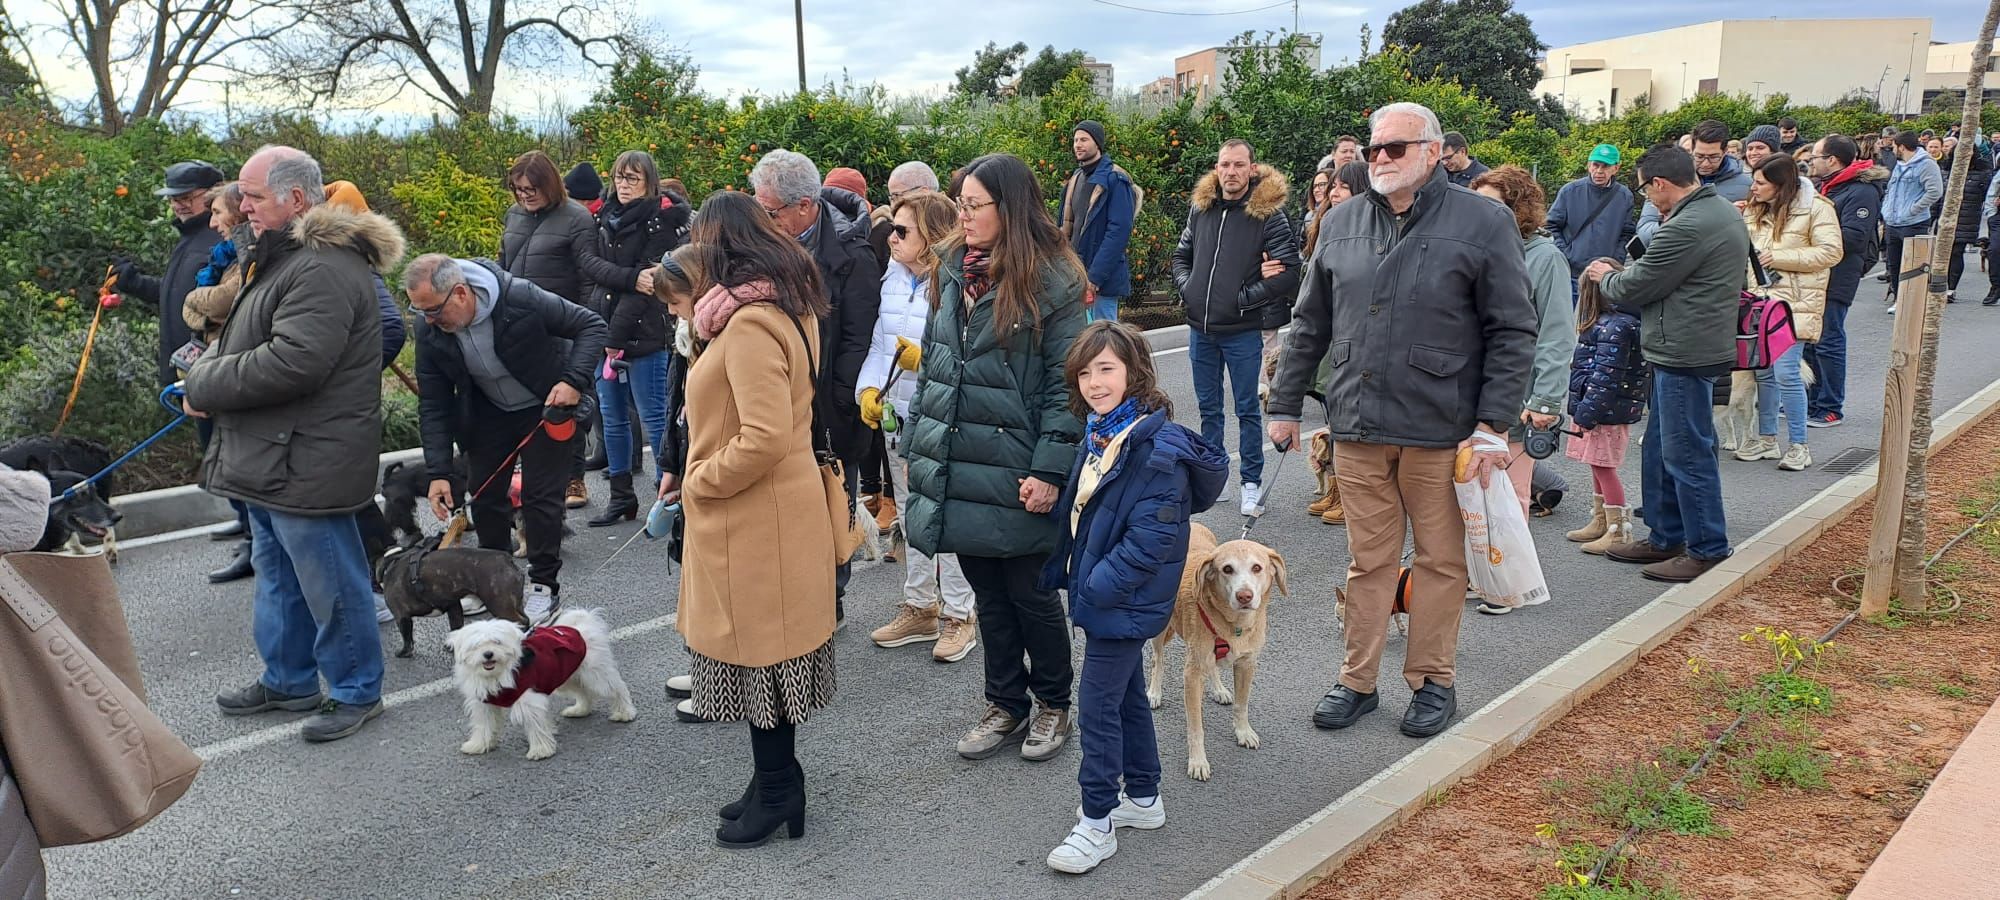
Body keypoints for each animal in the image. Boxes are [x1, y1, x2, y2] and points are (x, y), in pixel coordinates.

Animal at [376, 536, 528, 656]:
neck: (392, 561)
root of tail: (506, 560)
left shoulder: (401, 616)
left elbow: (407, 638)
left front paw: (403, 652)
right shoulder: (453, 606)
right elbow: (456, 627)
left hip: (499, 605)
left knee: (518, 622)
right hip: (515, 602)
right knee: (525, 619)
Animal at [450, 604, 636, 760]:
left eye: (497, 642)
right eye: (476, 646)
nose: (488, 654)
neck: (499, 673)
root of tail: (582, 624)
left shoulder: (528, 701)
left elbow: (535, 725)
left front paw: (540, 750)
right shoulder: (484, 705)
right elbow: (483, 725)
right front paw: (478, 745)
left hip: (595, 674)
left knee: (617, 689)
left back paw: (624, 712)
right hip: (568, 675)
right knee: (583, 692)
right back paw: (580, 710)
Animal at [1152, 520, 1288, 780]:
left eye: (1257, 567)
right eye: (1227, 569)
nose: (1245, 596)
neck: (1232, 624)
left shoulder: (1246, 664)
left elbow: (1242, 705)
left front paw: (1243, 732)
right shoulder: (1192, 675)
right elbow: (1196, 727)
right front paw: (1197, 761)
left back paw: (1219, 689)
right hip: (1159, 629)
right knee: (1158, 660)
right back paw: (1154, 692)